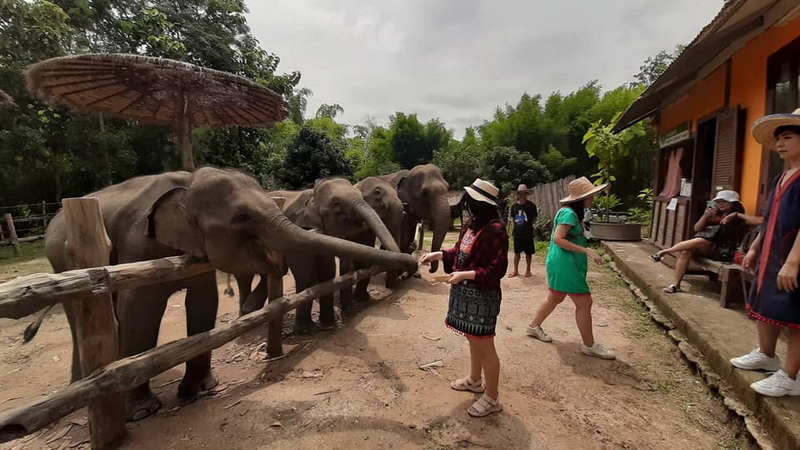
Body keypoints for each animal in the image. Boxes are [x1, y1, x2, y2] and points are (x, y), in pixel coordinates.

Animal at [43, 167, 417, 422]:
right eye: (241, 216)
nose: (415, 263)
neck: (186, 186)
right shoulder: (139, 245)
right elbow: (142, 310)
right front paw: (143, 411)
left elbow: (204, 302)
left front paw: (200, 389)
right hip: (62, 258)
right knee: (79, 309)